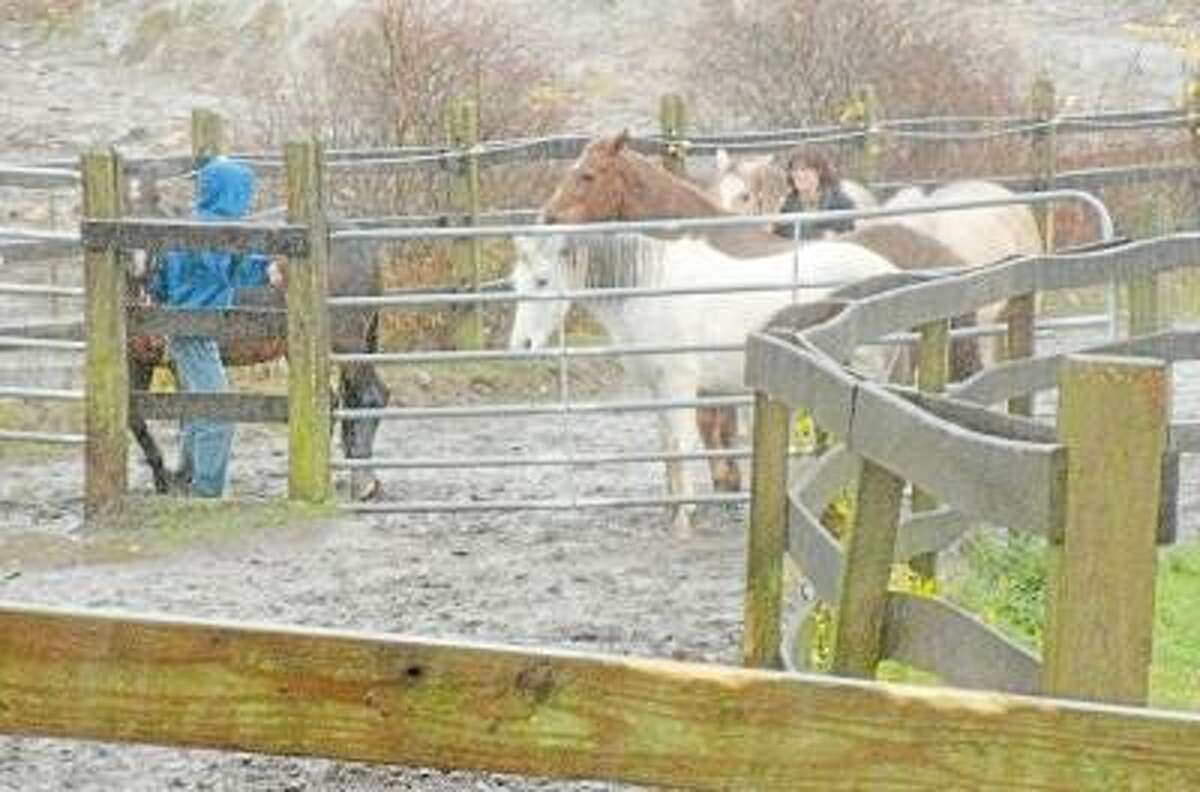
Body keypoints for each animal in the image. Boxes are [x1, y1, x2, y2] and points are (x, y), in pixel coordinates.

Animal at [506, 230, 902, 537]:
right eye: (515, 284)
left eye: (542, 280)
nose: (521, 345)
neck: (651, 293)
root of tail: (890, 273)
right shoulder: (656, 390)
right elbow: (667, 448)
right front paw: (671, 509)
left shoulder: (678, 386)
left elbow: (682, 447)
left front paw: (685, 517)